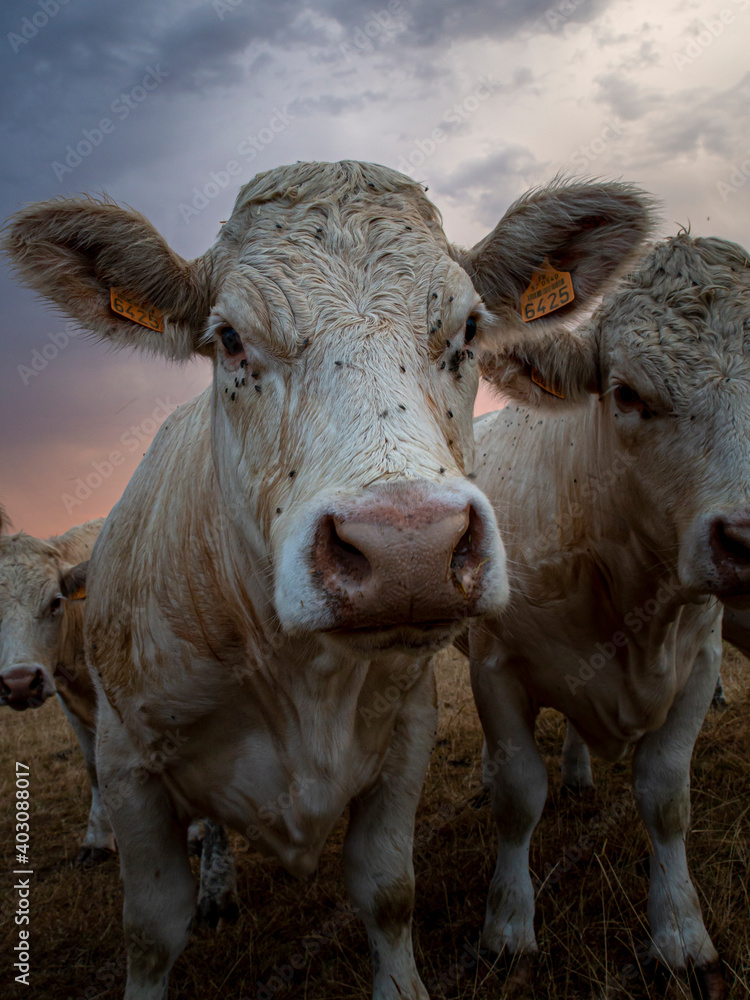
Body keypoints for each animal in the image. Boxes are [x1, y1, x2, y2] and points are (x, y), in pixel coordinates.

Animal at [4, 160, 654, 999]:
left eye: (469, 331)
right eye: (229, 339)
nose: (408, 547)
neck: (296, 678)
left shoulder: (407, 736)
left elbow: (387, 891)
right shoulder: (125, 762)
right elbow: (149, 933)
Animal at [469, 231, 750, 999]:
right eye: (626, 394)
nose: (749, 538)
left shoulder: (700, 661)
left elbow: (665, 794)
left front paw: (680, 931)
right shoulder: (493, 665)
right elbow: (517, 795)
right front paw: (508, 925)